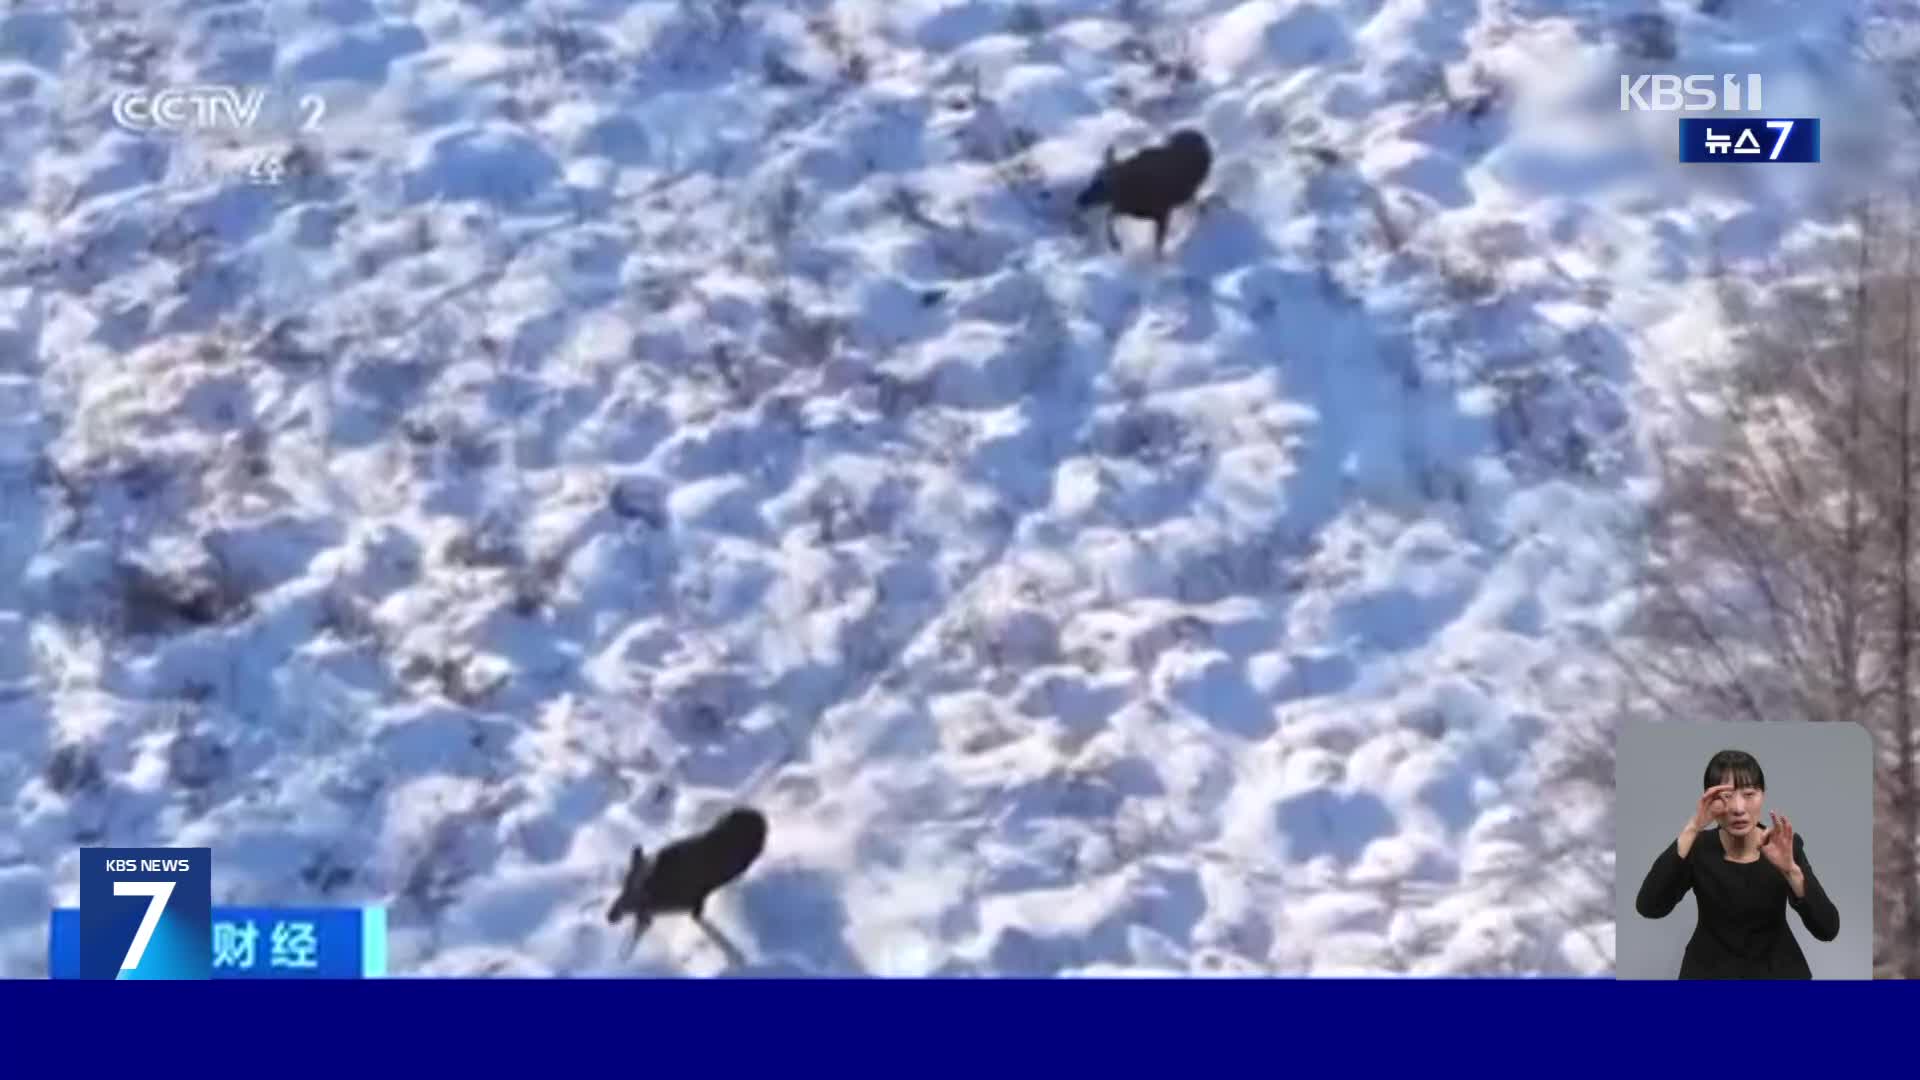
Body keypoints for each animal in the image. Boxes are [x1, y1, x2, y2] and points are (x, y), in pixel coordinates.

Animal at [1075, 127, 1205, 253]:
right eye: (1094, 181)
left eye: (1100, 184)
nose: (1080, 199)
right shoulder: (1128, 208)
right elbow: (1110, 216)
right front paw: (1116, 244)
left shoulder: (1162, 212)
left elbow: (1159, 242)